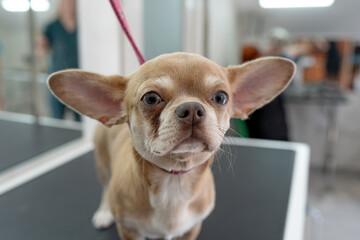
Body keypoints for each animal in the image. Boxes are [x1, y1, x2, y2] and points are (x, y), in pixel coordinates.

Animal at [47, 53, 296, 240]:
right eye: (151, 98)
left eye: (221, 97)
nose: (192, 109)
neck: (173, 181)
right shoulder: (129, 232)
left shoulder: (190, 230)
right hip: (102, 165)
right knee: (105, 188)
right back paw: (104, 211)